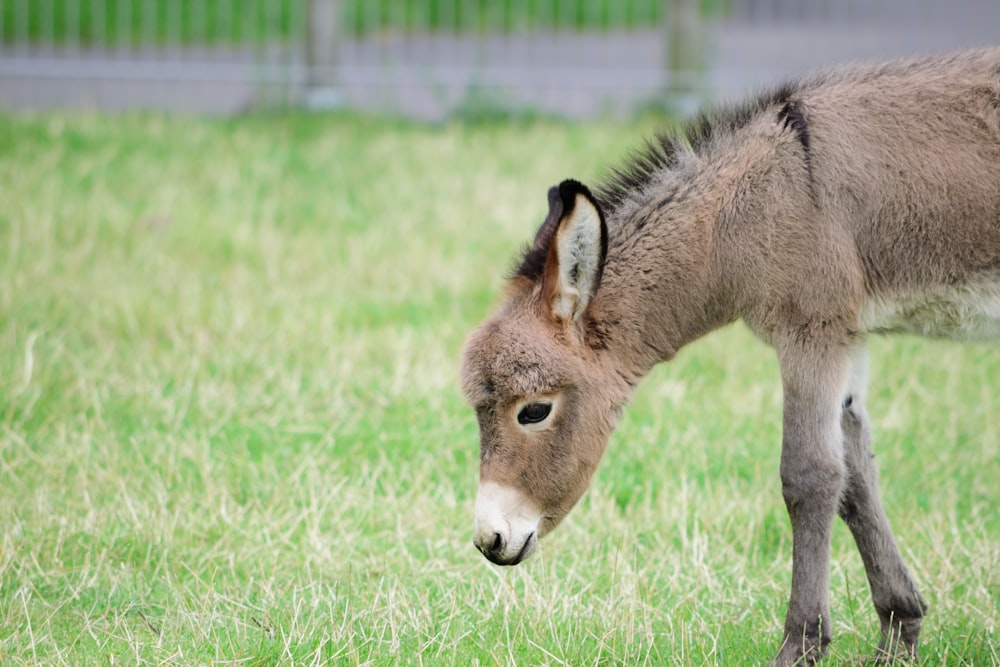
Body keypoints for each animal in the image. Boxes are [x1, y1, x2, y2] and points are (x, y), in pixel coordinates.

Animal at [460, 49, 1000, 664]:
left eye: (533, 411)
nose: (489, 541)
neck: (757, 204)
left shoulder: (811, 332)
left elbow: (810, 477)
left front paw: (801, 644)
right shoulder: (848, 334)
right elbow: (857, 478)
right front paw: (898, 632)